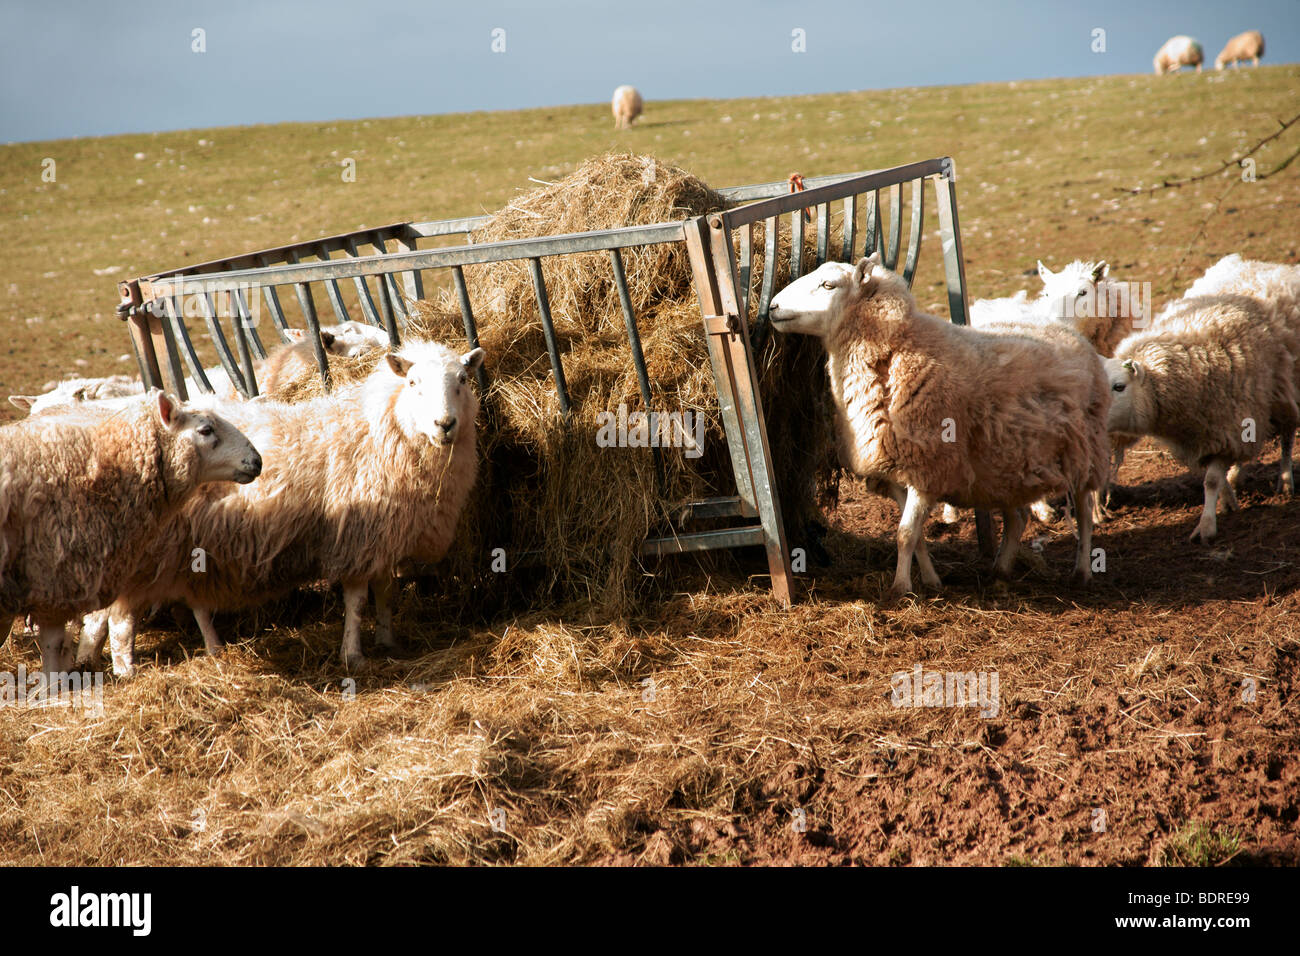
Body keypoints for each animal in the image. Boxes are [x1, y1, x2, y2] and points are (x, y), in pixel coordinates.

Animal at [78, 339, 485, 674]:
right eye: (413, 383)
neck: (380, 429)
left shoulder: (386, 535)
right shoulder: (356, 537)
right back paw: (124, 669)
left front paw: (388, 641)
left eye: (463, 379)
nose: (445, 424)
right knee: (117, 619)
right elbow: (357, 603)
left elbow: (386, 593)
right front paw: (353, 655)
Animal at [769, 253, 1111, 596]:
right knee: (1017, 517)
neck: (897, 353)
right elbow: (915, 535)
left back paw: (1081, 571)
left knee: (1083, 510)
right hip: (1006, 463)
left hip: (1086, 451)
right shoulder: (897, 475)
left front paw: (900, 589)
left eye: (828, 285)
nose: (772, 306)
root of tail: (1067, 331)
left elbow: (905, 533)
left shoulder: (927, 469)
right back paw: (1000, 569)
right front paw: (930, 581)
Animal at [1106, 294, 1298, 543]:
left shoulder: (1227, 426)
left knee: (1287, 434)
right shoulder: (1207, 435)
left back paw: (1285, 480)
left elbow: (1212, 480)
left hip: (1283, 388)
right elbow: (1216, 477)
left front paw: (1206, 526)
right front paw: (1228, 502)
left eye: (1119, 387)